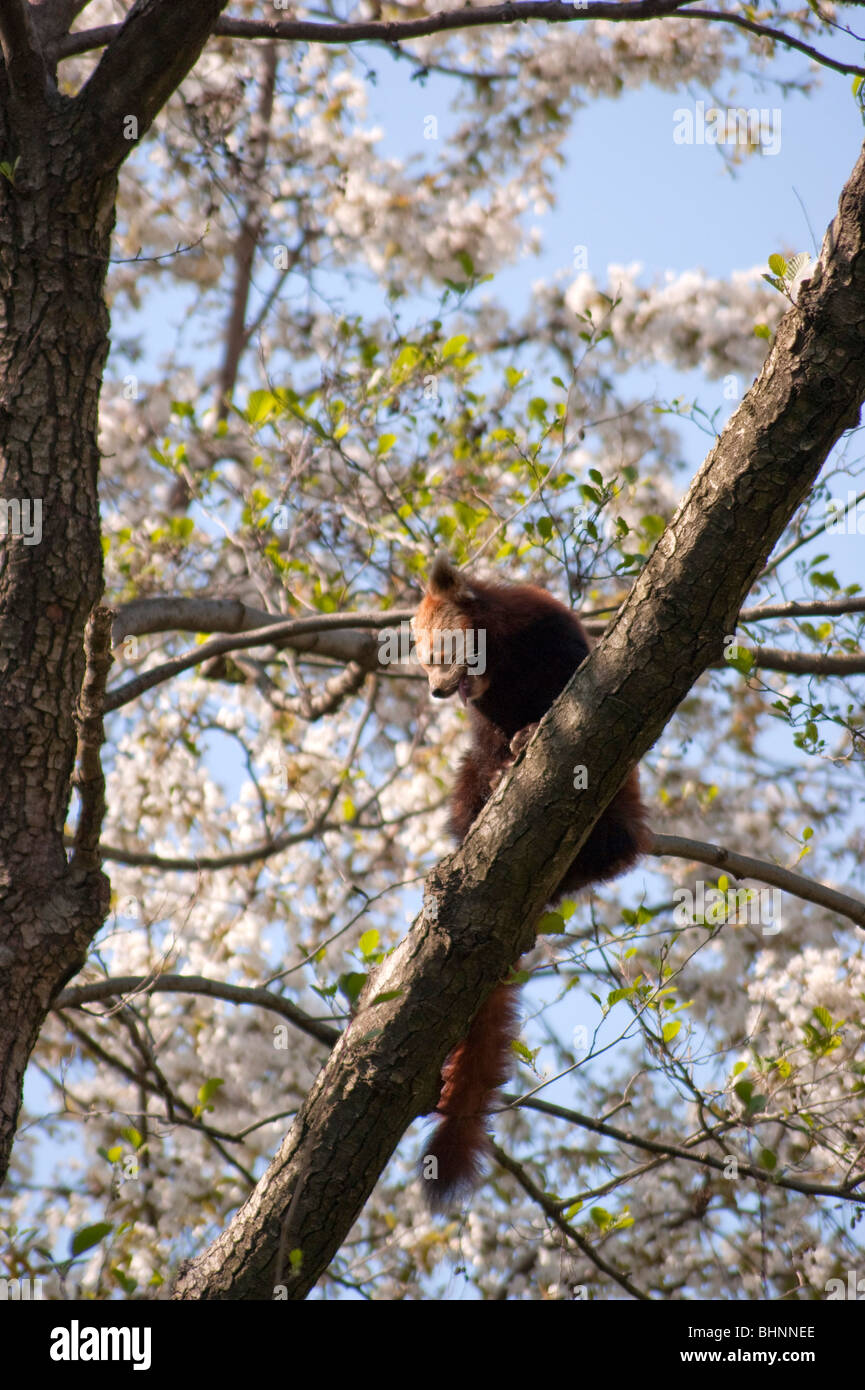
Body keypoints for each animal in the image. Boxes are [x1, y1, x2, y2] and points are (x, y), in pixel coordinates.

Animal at [414, 550, 650, 1206]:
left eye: (441, 654)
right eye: (423, 663)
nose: (437, 691)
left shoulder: (554, 642)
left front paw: (529, 733)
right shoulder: (485, 713)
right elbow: (488, 739)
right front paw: (506, 754)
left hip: (619, 813)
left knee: (617, 841)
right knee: (470, 782)